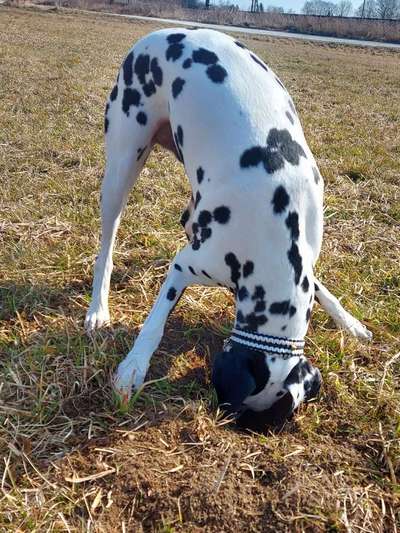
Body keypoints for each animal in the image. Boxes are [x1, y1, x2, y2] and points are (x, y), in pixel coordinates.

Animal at [84, 28, 372, 428]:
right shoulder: (185, 266)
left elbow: (319, 287)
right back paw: (98, 308)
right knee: (107, 245)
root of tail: (160, 32)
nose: (240, 425)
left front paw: (348, 321)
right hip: (122, 167)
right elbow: (155, 324)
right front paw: (133, 368)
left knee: (186, 219)